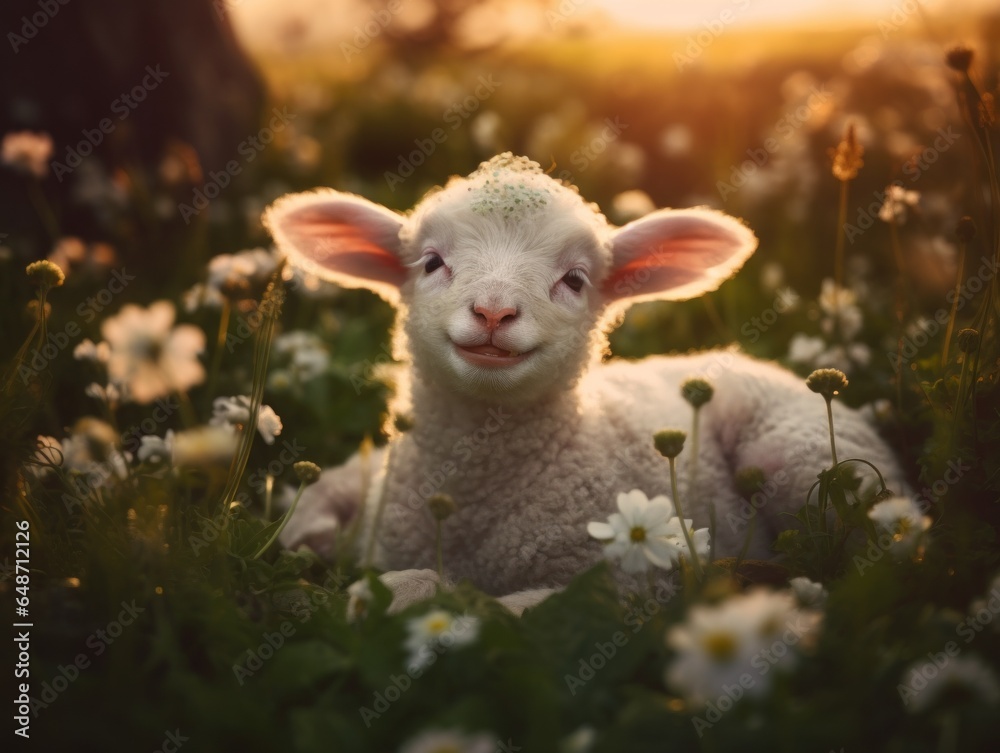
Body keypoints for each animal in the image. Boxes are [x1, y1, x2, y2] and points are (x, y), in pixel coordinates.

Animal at [264, 153, 906, 612]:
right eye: (431, 263)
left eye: (574, 279)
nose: (493, 311)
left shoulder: (626, 586)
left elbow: (494, 607)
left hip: (809, 463)